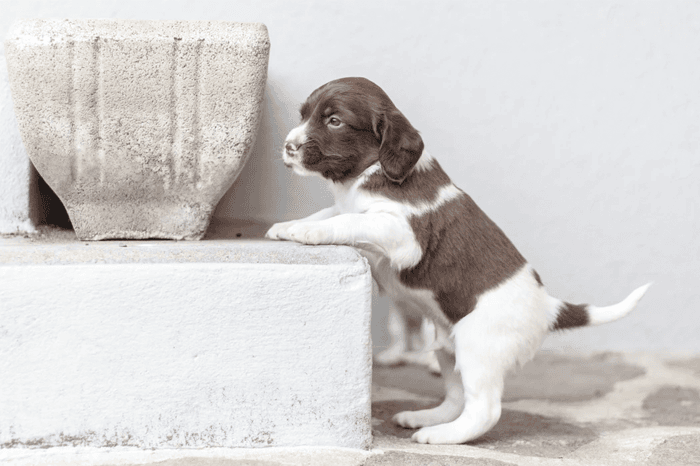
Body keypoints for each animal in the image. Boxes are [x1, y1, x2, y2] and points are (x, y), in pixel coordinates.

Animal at [265, 77, 651, 444]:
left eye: (334, 121)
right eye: (304, 115)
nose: (288, 146)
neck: (370, 172)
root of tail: (549, 306)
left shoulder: (404, 234)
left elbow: (346, 220)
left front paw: (304, 231)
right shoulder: (354, 208)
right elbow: (331, 212)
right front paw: (288, 225)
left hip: (478, 346)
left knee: (484, 409)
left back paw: (440, 436)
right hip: (447, 345)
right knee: (456, 397)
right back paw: (426, 418)